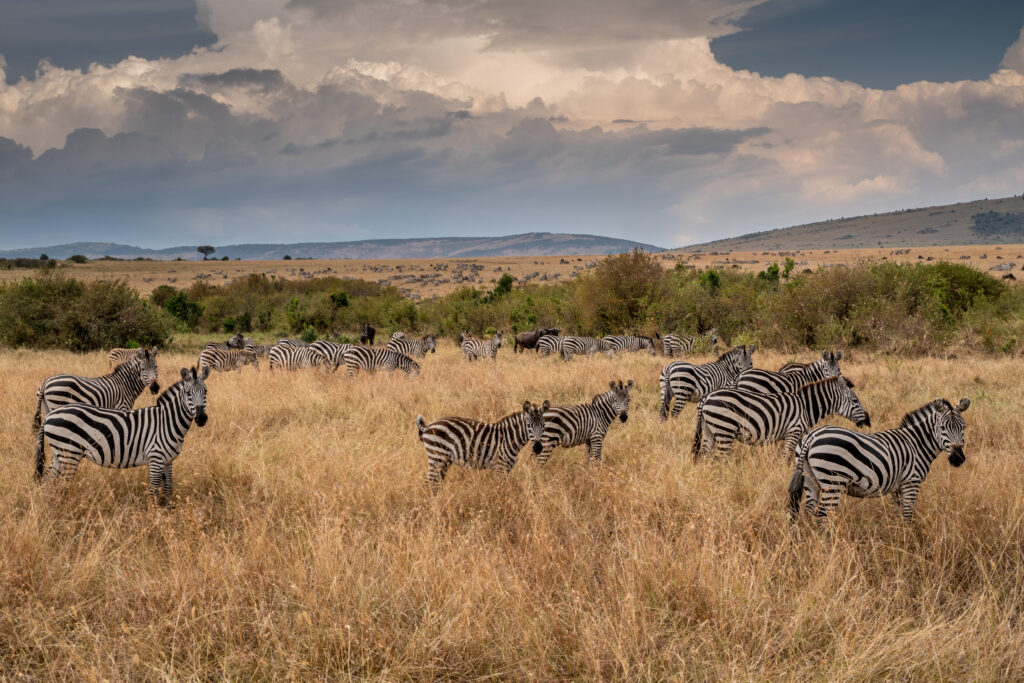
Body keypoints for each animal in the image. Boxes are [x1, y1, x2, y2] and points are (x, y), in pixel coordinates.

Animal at [35, 362, 210, 501]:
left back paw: (45, 505)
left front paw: (167, 512)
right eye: (188, 393)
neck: (167, 422)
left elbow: (167, 489)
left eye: (206, 392)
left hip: (60, 453)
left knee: (47, 479)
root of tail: (49, 416)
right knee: (63, 485)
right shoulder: (155, 458)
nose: (201, 418)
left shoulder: (168, 460)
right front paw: (154, 516)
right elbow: (153, 491)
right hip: (69, 453)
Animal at [413, 397, 548, 489]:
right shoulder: (501, 467)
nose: (538, 448)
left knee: (435, 484)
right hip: (436, 457)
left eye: (543, 425)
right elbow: (501, 489)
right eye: (529, 426)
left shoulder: (506, 468)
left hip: (444, 461)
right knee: (428, 483)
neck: (509, 438)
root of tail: (428, 427)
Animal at [692, 374, 868, 464]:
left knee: (705, 457)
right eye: (855, 401)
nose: (868, 421)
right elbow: (785, 459)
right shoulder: (793, 432)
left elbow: (793, 460)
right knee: (719, 459)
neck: (806, 407)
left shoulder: (799, 436)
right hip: (725, 429)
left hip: (709, 430)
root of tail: (707, 397)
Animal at [786, 395, 970, 524]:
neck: (916, 443)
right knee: (822, 515)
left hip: (809, 479)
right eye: (943, 427)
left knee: (809, 511)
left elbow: (898, 515)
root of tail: (811, 437)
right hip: (833, 481)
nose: (957, 459)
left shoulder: (898, 487)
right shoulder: (911, 482)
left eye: (963, 427)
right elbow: (908, 516)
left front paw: (898, 539)